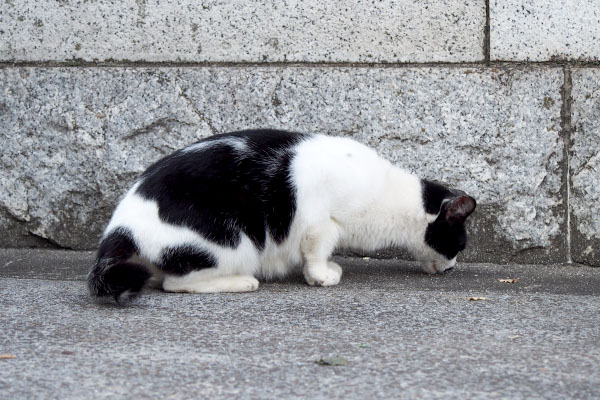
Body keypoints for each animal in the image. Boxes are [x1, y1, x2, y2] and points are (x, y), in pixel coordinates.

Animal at [86, 130, 476, 302]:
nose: (453, 267)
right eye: (460, 245)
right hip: (234, 239)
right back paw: (242, 281)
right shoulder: (321, 222)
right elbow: (316, 252)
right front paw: (321, 276)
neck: (388, 193)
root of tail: (119, 225)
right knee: (175, 283)